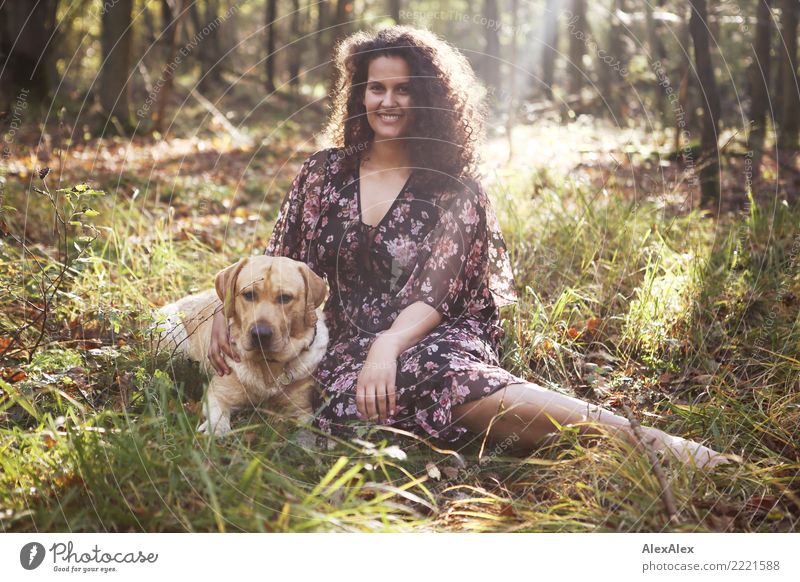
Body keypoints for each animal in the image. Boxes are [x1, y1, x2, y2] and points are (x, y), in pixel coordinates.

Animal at [156, 256, 328, 438]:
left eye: (285, 298)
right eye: (249, 295)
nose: (260, 334)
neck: (267, 365)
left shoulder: (303, 410)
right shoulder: (218, 394)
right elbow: (218, 419)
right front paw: (216, 430)